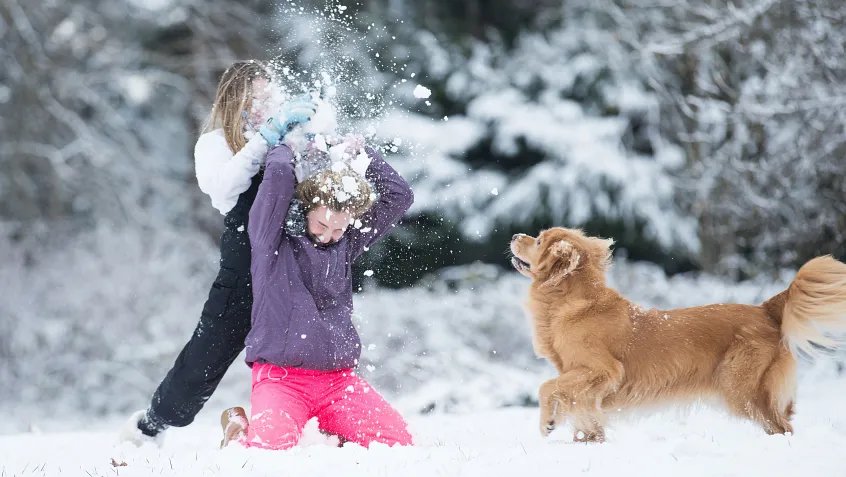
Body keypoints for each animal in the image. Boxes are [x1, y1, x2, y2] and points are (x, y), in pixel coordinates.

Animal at [512, 227, 846, 442]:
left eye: (539, 240)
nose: (515, 236)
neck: (573, 301)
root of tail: (765, 310)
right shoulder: (583, 381)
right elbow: (579, 409)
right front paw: (584, 438)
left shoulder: (602, 370)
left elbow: (547, 387)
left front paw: (547, 423)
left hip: (740, 389)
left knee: (782, 427)